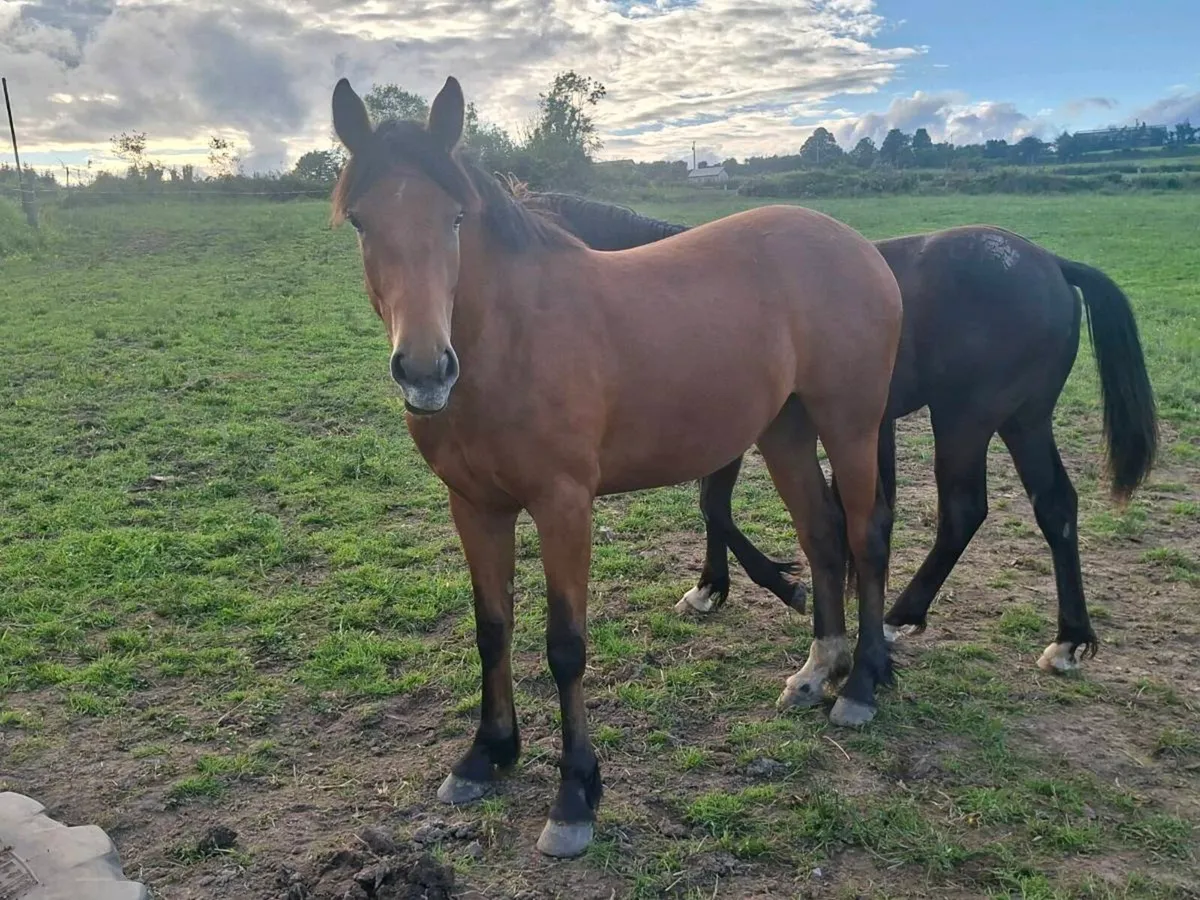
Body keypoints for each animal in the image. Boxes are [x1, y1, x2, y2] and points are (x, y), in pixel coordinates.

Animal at [329, 75, 903, 858]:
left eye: (455, 218)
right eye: (362, 222)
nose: (424, 370)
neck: (511, 338)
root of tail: (858, 247)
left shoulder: (564, 505)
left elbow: (565, 645)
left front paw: (575, 796)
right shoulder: (475, 507)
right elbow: (491, 628)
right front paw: (485, 755)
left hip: (849, 424)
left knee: (865, 537)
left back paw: (863, 686)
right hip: (784, 430)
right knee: (822, 536)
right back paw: (819, 673)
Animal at [512, 187, 1159, 676]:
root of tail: (1048, 262)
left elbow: (715, 505)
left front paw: (779, 586)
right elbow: (714, 505)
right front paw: (713, 586)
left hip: (965, 419)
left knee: (963, 510)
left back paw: (901, 616)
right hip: (1024, 418)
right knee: (1056, 506)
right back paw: (1069, 637)